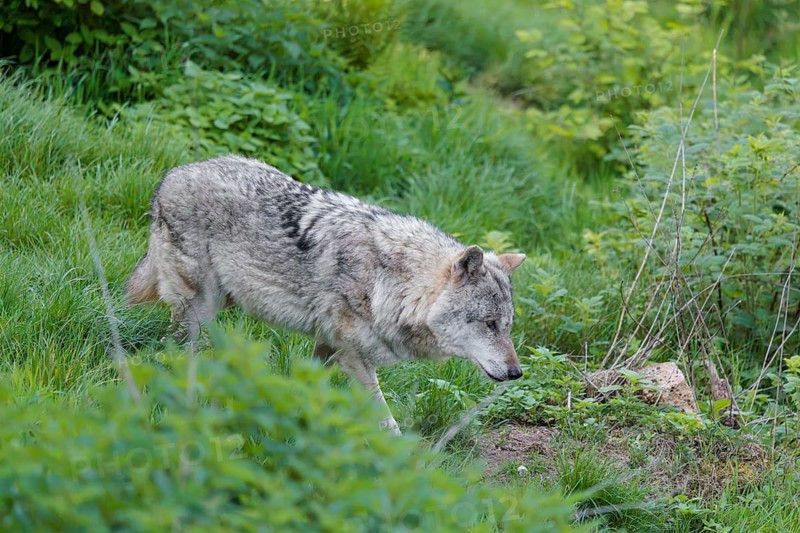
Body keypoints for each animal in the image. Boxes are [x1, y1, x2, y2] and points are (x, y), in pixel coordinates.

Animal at [126, 155, 526, 434]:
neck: (390, 283)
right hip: (200, 307)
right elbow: (385, 419)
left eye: (506, 327)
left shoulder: (327, 347)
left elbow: (302, 387)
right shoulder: (353, 356)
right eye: (489, 324)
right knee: (173, 349)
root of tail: (172, 175)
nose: (516, 372)